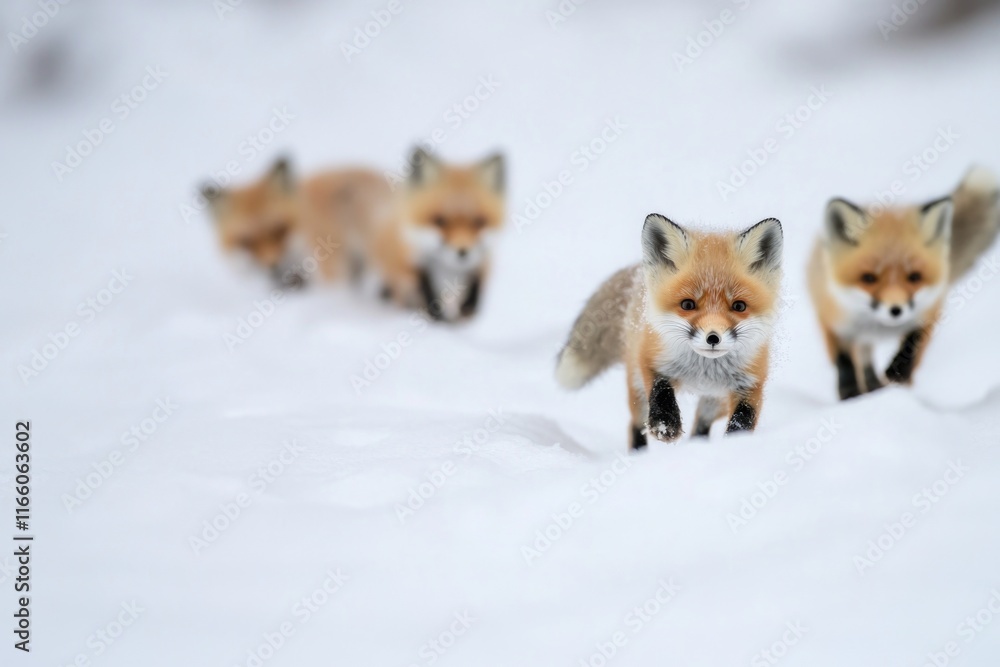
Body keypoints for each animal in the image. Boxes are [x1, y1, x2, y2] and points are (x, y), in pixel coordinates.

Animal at [556, 214, 784, 450]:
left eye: (739, 306)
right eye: (687, 304)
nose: (713, 338)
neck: (703, 370)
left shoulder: (751, 383)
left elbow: (743, 418)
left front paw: (738, 443)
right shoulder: (650, 360)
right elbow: (661, 390)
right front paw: (665, 425)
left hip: (715, 400)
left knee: (702, 422)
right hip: (637, 387)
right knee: (635, 423)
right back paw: (640, 452)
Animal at [808, 166, 1000, 400]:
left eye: (914, 277)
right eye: (869, 278)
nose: (895, 310)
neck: (881, 327)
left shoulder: (929, 311)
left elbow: (912, 343)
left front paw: (897, 373)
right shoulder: (831, 319)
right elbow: (843, 360)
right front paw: (850, 394)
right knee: (863, 360)